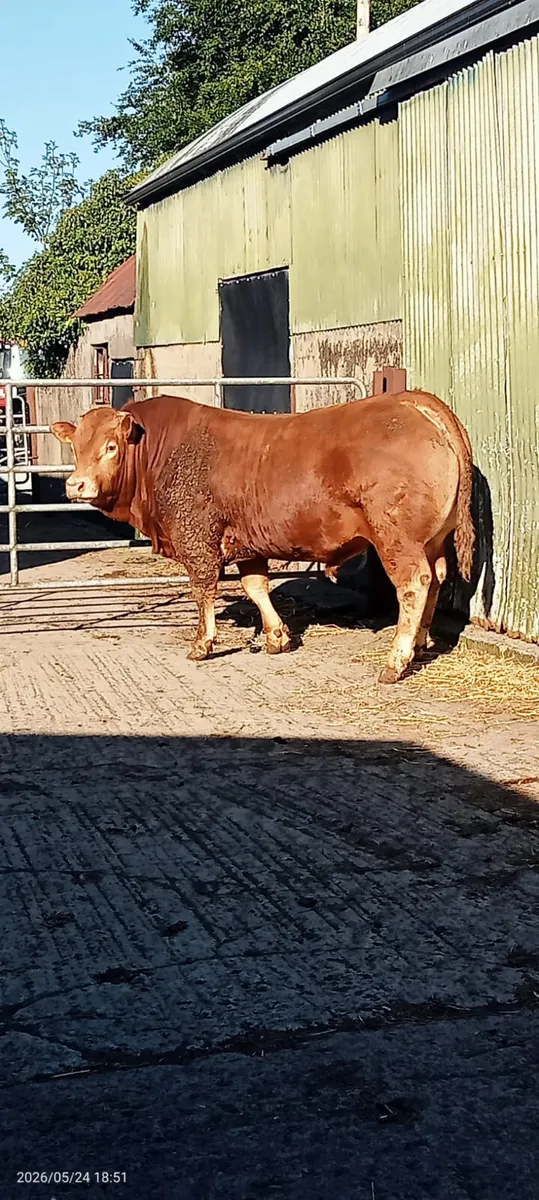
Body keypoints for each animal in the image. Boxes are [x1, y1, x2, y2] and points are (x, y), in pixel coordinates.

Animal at [52, 389, 474, 684]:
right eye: (75, 446)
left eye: (110, 447)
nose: (76, 485)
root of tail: (412, 400)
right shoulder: (245, 543)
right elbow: (256, 587)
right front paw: (276, 637)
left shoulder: (198, 539)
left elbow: (203, 590)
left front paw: (202, 643)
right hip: (432, 540)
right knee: (437, 578)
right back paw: (420, 645)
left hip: (397, 537)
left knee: (414, 584)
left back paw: (396, 661)